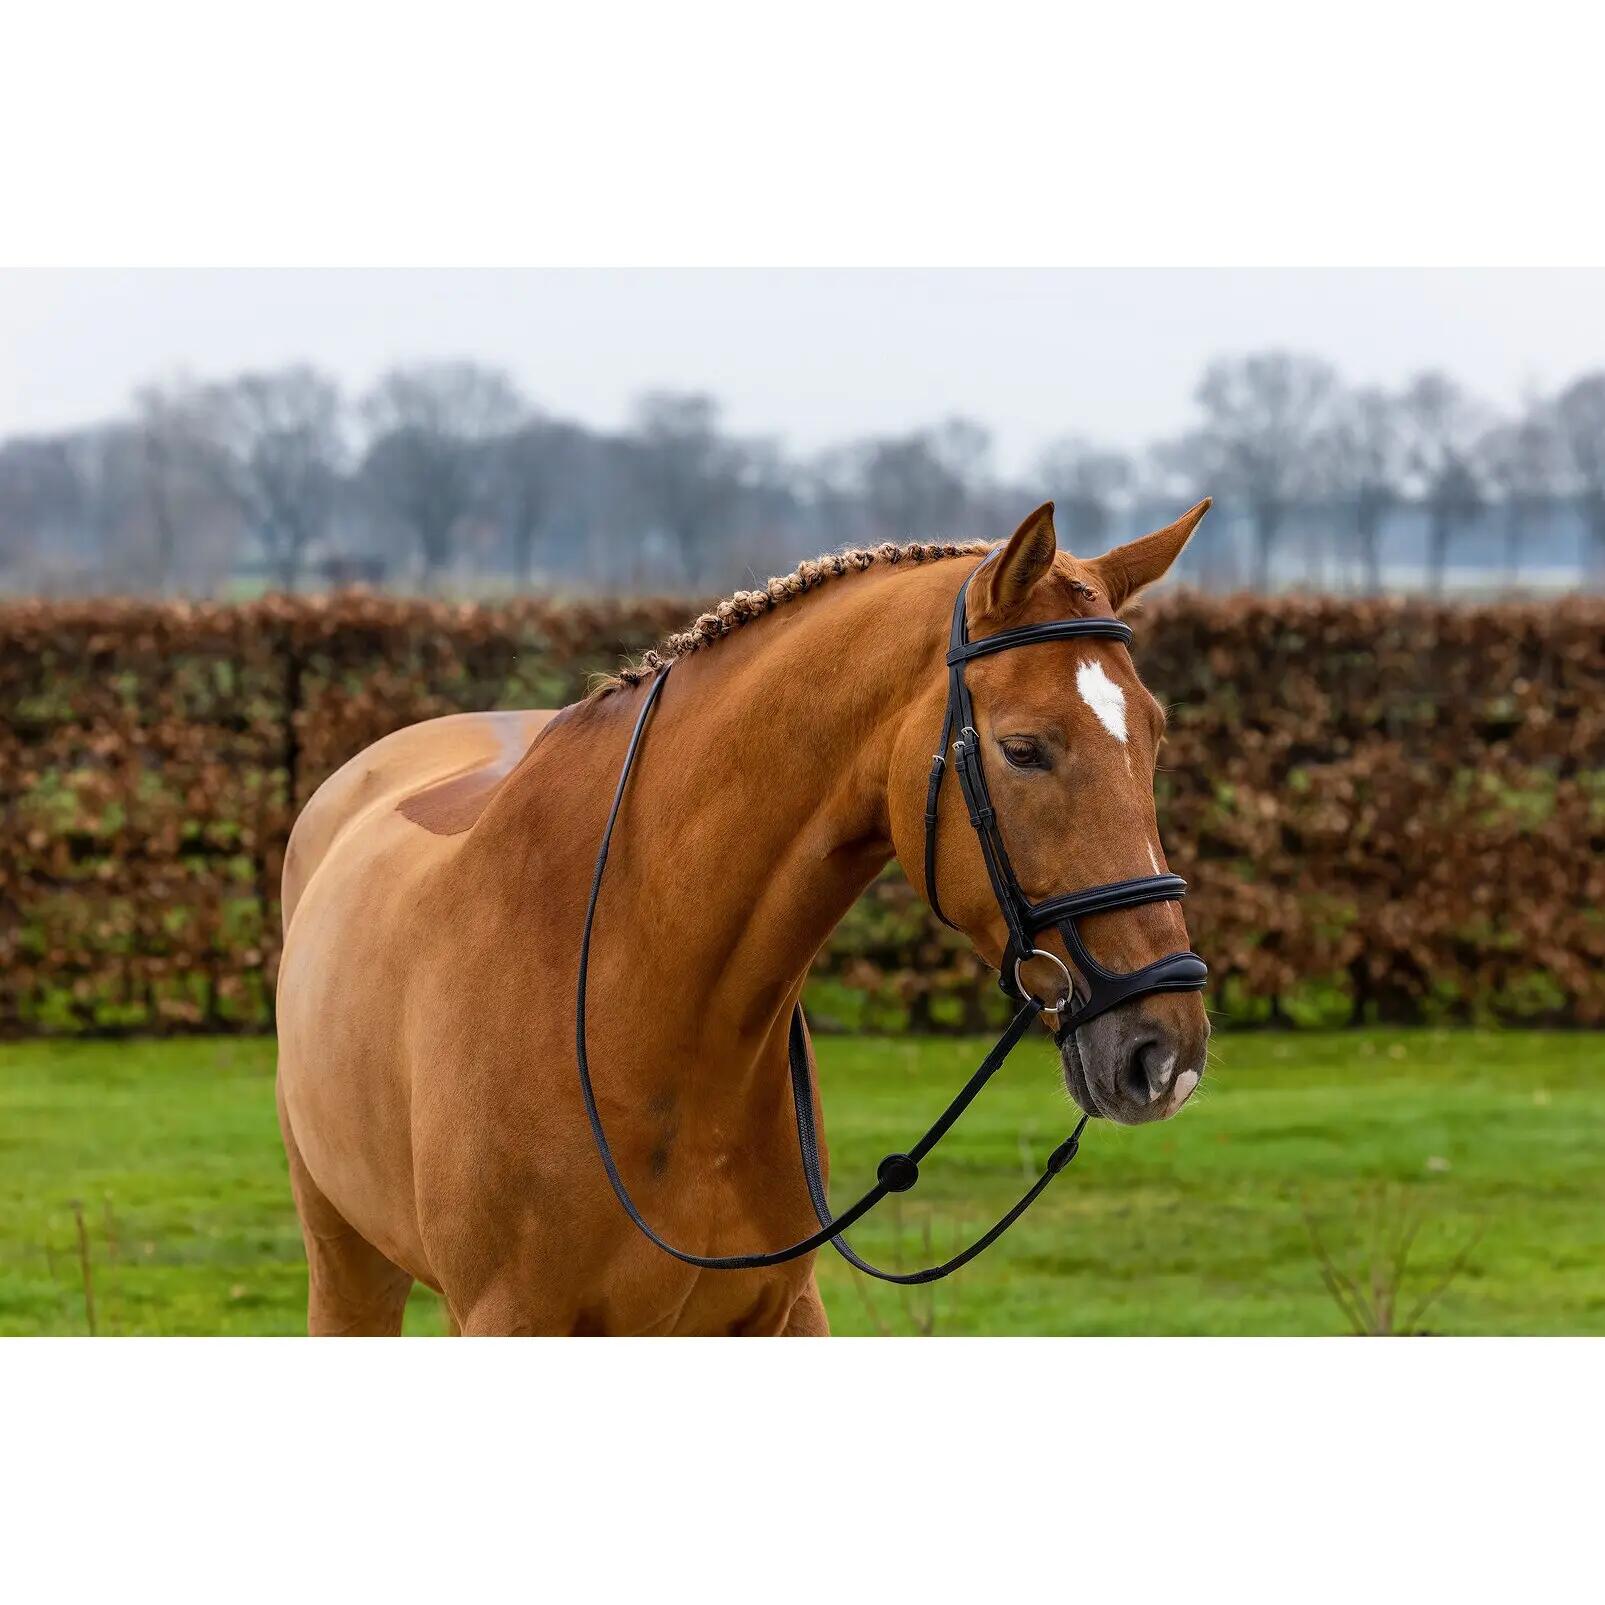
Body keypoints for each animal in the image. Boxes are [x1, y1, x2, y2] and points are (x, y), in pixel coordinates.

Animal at [274, 498, 1213, 1335]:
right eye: (1023, 750)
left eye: (1154, 735)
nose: (1164, 1052)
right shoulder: (511, 1317)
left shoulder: (778, 1313)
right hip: (343, 1257)